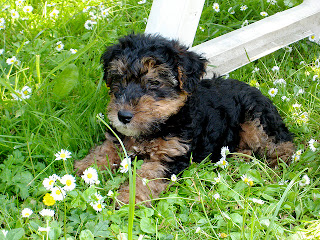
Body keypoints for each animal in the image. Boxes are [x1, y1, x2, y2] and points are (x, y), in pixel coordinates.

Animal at [74, 33, 294, 206]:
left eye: (154, 83)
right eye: (119, 78)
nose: (123, 116)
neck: (162, 123)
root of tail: (258, 91)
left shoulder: (170, 156)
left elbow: (145, 177)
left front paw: (127, 199)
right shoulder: (118, 136)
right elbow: (104, 150)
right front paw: (84, 168)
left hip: (257, 120)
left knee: (282, 143)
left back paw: (279, 165)